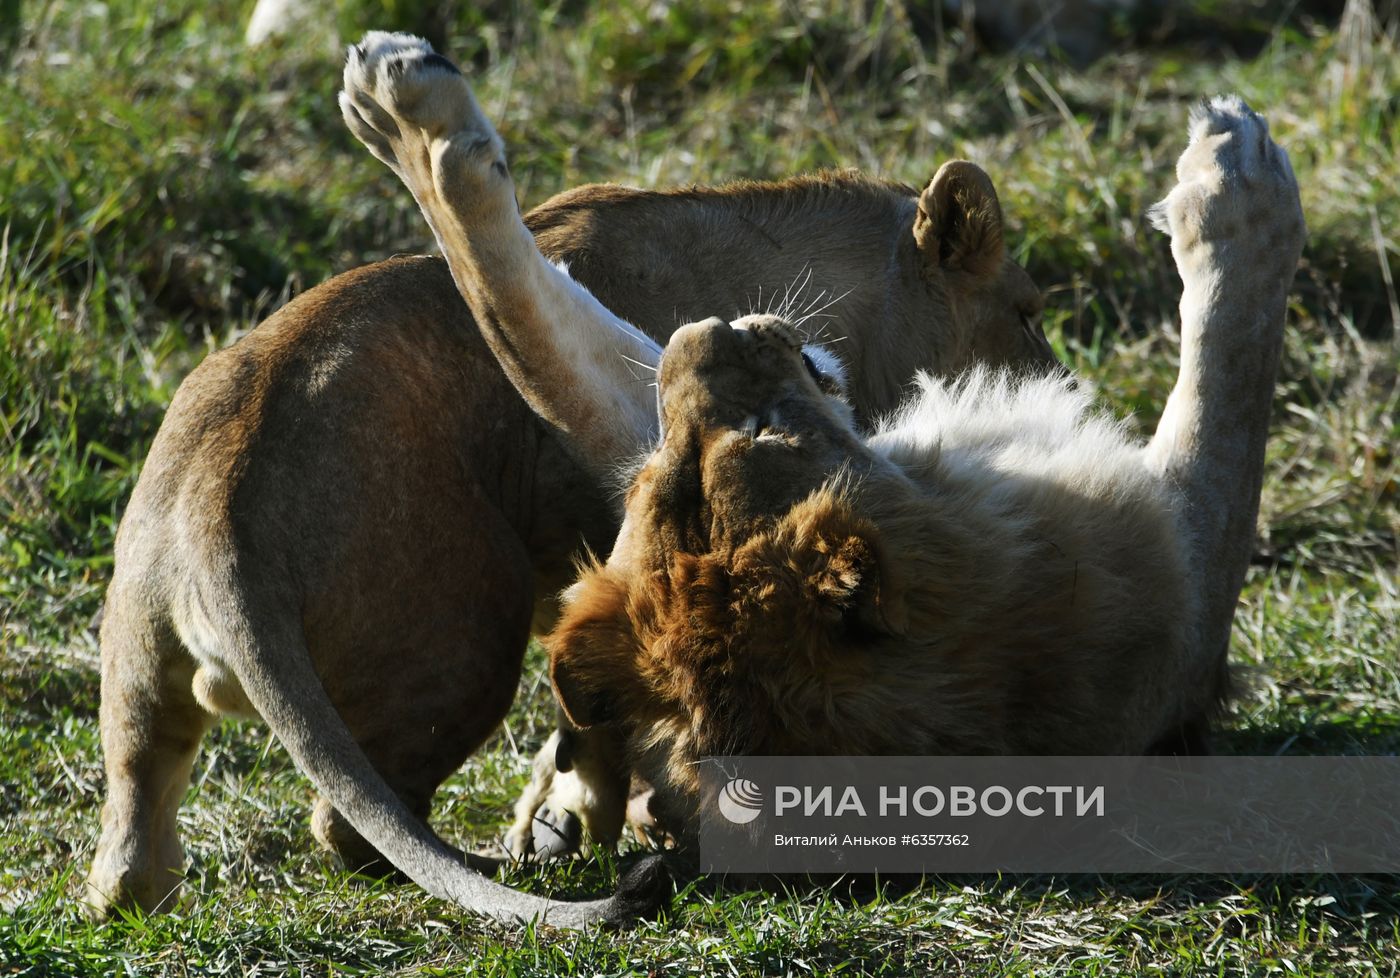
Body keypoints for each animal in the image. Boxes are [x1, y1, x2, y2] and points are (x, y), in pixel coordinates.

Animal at [83, 38, 1055, 926]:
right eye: (1029, 311)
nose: (1058, 383)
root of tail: (217, 533)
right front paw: (576, 809)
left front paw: (568, 804)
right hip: (467, 637)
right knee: (350, 827)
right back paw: (512, 862)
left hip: (140, 670)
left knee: (130, 840)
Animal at [336, 36, 1304, 857]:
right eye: (754, 434)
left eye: (673, 481)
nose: (703, 332)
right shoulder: (1186, 584)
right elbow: (1234, 361)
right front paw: (1237, 171)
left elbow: (531, 327)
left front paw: (402, 113)